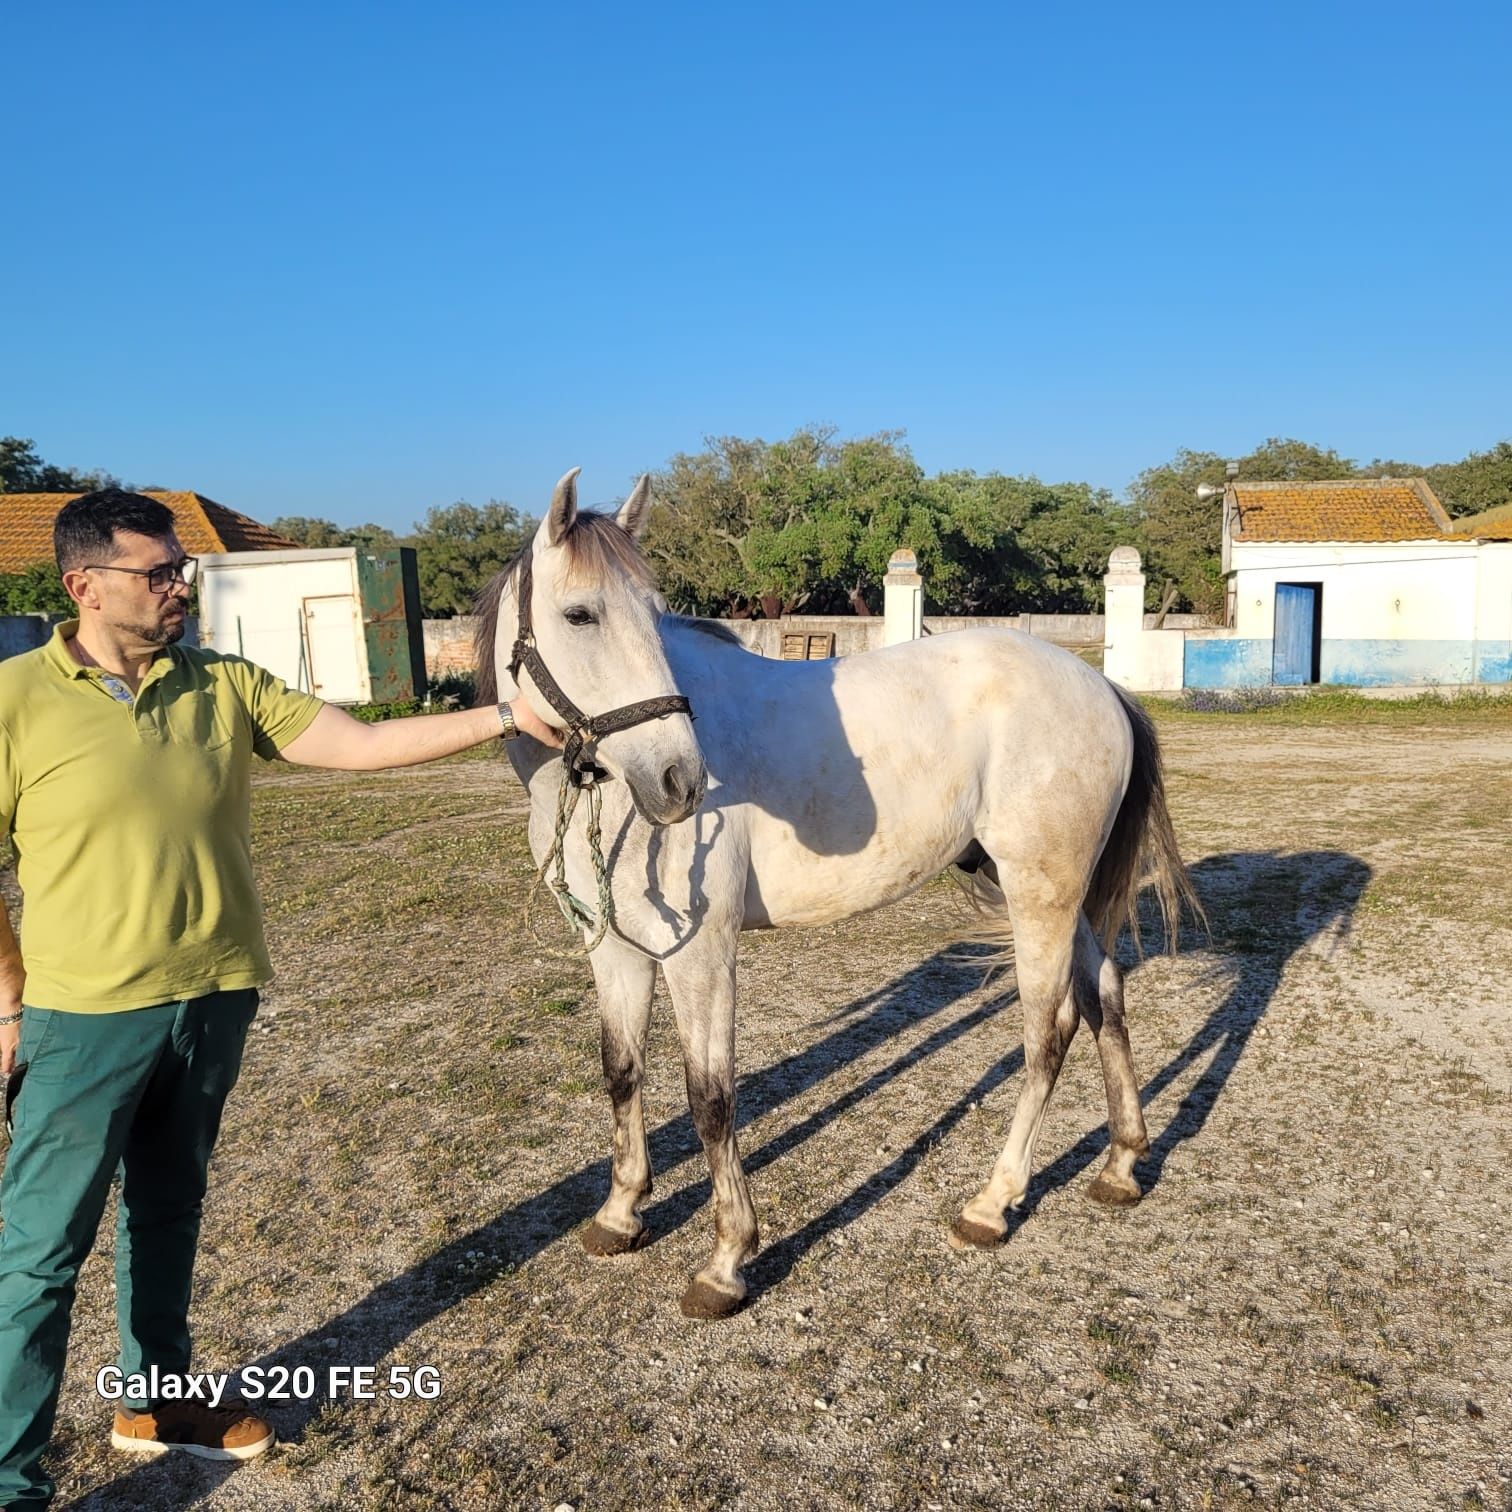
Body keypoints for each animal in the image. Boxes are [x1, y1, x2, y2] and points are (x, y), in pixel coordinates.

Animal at [477, 465, 1197, 1318]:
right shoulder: (615, 948)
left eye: (652, 615)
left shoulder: (700, 955)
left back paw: (992, 1203)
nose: (680, 781)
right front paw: (620, 1214)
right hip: (1055, 896)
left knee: (1045, 1035)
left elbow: (710, 1096)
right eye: (580, 614)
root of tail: (1102, 687)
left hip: (1039, 898)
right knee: (1104, 999)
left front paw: (726, 1260)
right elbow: (622, 1072)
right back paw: (1121, 1164)